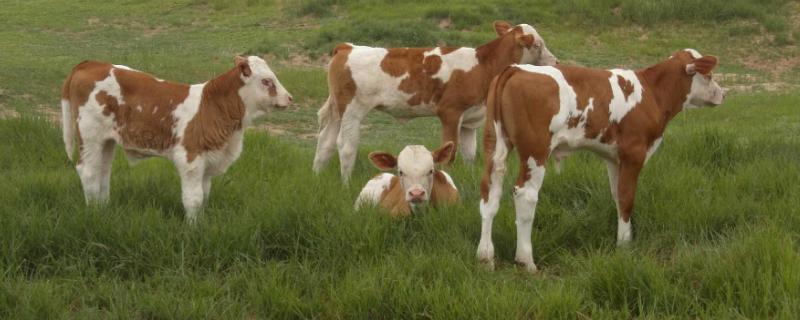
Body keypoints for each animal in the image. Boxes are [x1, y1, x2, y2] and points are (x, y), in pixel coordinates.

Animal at [61, 55, 294, 222]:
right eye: (266, 81)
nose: (289, 98)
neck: (212, 107)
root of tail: (90, 63)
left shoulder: (208, 162)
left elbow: (204, 196)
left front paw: (200, 224)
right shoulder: (190, 158)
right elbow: (194, 198)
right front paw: (192, 229)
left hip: (106, 141)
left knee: (103, 172)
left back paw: (104, 209)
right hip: (89, 136)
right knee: (89, 172)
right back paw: (94, 213)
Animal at [312, 20, 556, 182]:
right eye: (538, 45)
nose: (555, 61)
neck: (483, 65)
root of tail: (348, 47)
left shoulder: (469, 121)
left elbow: (469, 154)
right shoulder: (450, 112)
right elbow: (450, 153)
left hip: (336, 110)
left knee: (325, 142)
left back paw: (317, 178)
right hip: (352, 109)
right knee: (346, 145)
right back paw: (346, 184)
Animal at [476, 48, 724, 272]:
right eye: (709, 75)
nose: (723, 94)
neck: (652, 92)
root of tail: (516, 69)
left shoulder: (613, 158)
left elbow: (617, 196)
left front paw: (625, 239)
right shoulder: (634, 152)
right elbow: (627, 198)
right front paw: (624, 246)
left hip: (494, 143)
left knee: (490, 193)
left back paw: (485, 257)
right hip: (535, 149)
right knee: (526, 195)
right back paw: (526, 261)